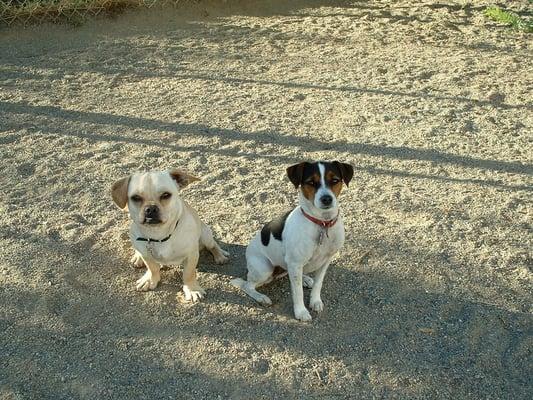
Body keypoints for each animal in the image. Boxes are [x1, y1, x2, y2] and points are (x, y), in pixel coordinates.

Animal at [111, 167, 228, 302]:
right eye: (136, 198)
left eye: (166, 195)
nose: (151, 208)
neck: (159, 235)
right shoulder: (146, 254)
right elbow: (152, 268)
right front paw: (150, 279)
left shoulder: (191, 255)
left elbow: (188, 274)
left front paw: (192, 289)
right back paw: (137, 257)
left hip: (205, 235)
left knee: (213, 245)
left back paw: (220, 256)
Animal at [232, 161, 354, 320]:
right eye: (311, 182)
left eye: (334, 180)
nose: (326, 199)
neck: (322, 224)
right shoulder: (295, 263)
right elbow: (298, 293)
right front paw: (301, 312)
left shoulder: (325, 261)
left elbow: (318, 284)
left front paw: (315, 301)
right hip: (264, 269)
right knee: (247, 285)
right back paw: (261, 297)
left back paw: (305, 278)